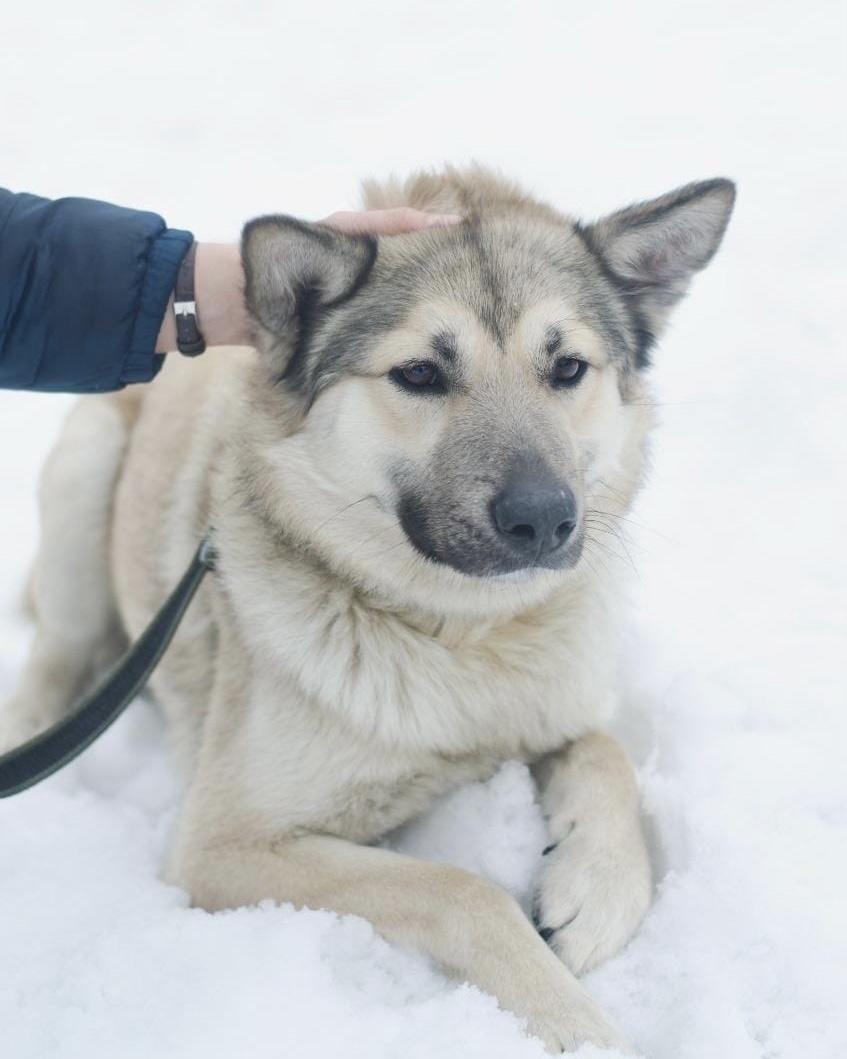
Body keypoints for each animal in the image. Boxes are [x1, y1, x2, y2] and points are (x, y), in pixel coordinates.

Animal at [1, 165, 732, 1050]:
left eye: (565, 369)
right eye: (419, 374)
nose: (544, 519)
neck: (457, 636)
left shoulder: (552, 704)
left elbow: (604, 751)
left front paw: (597, 887)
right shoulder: (225, 846)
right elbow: (463, 891)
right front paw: (575, 1024)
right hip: (86, 471)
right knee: (57, 653)